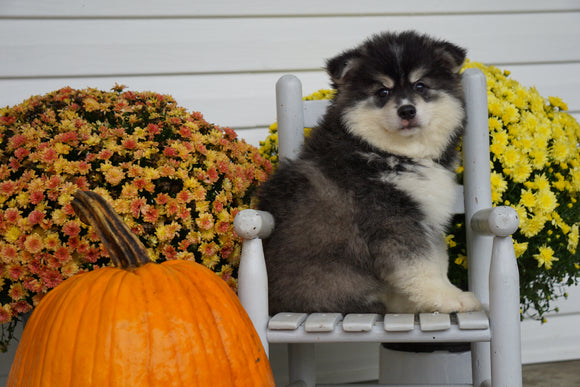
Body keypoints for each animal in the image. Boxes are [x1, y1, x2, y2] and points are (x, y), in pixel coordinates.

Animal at [258, 30, 480, 316]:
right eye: (382, 91)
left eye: (420, 86)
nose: (407, 110)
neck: (392, 154)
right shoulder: (392, 220)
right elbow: (421, 266)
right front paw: (450, 298)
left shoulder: (426, 218)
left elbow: (438, 260)